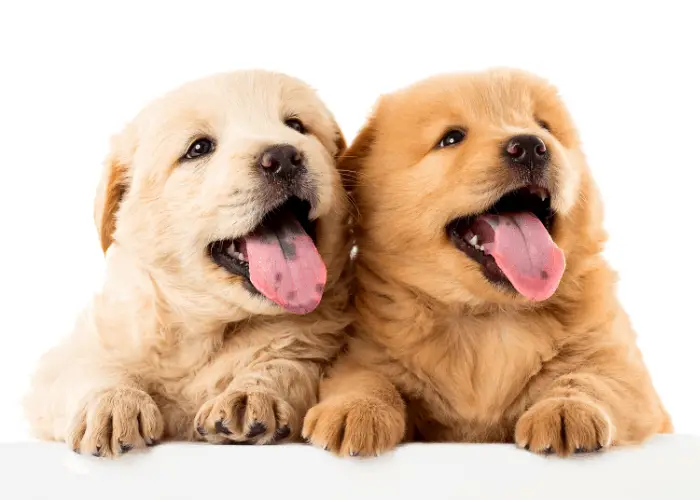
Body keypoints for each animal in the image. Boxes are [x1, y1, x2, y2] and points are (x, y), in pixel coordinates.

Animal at [302, 69, 672, 458]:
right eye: (451, 138)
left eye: (544, 126)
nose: (530, 145)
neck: (487, 319)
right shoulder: (364, 353)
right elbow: (366, 377)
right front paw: (353, 410)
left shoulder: (625, 370)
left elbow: (591, 378)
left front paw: (566, 410)